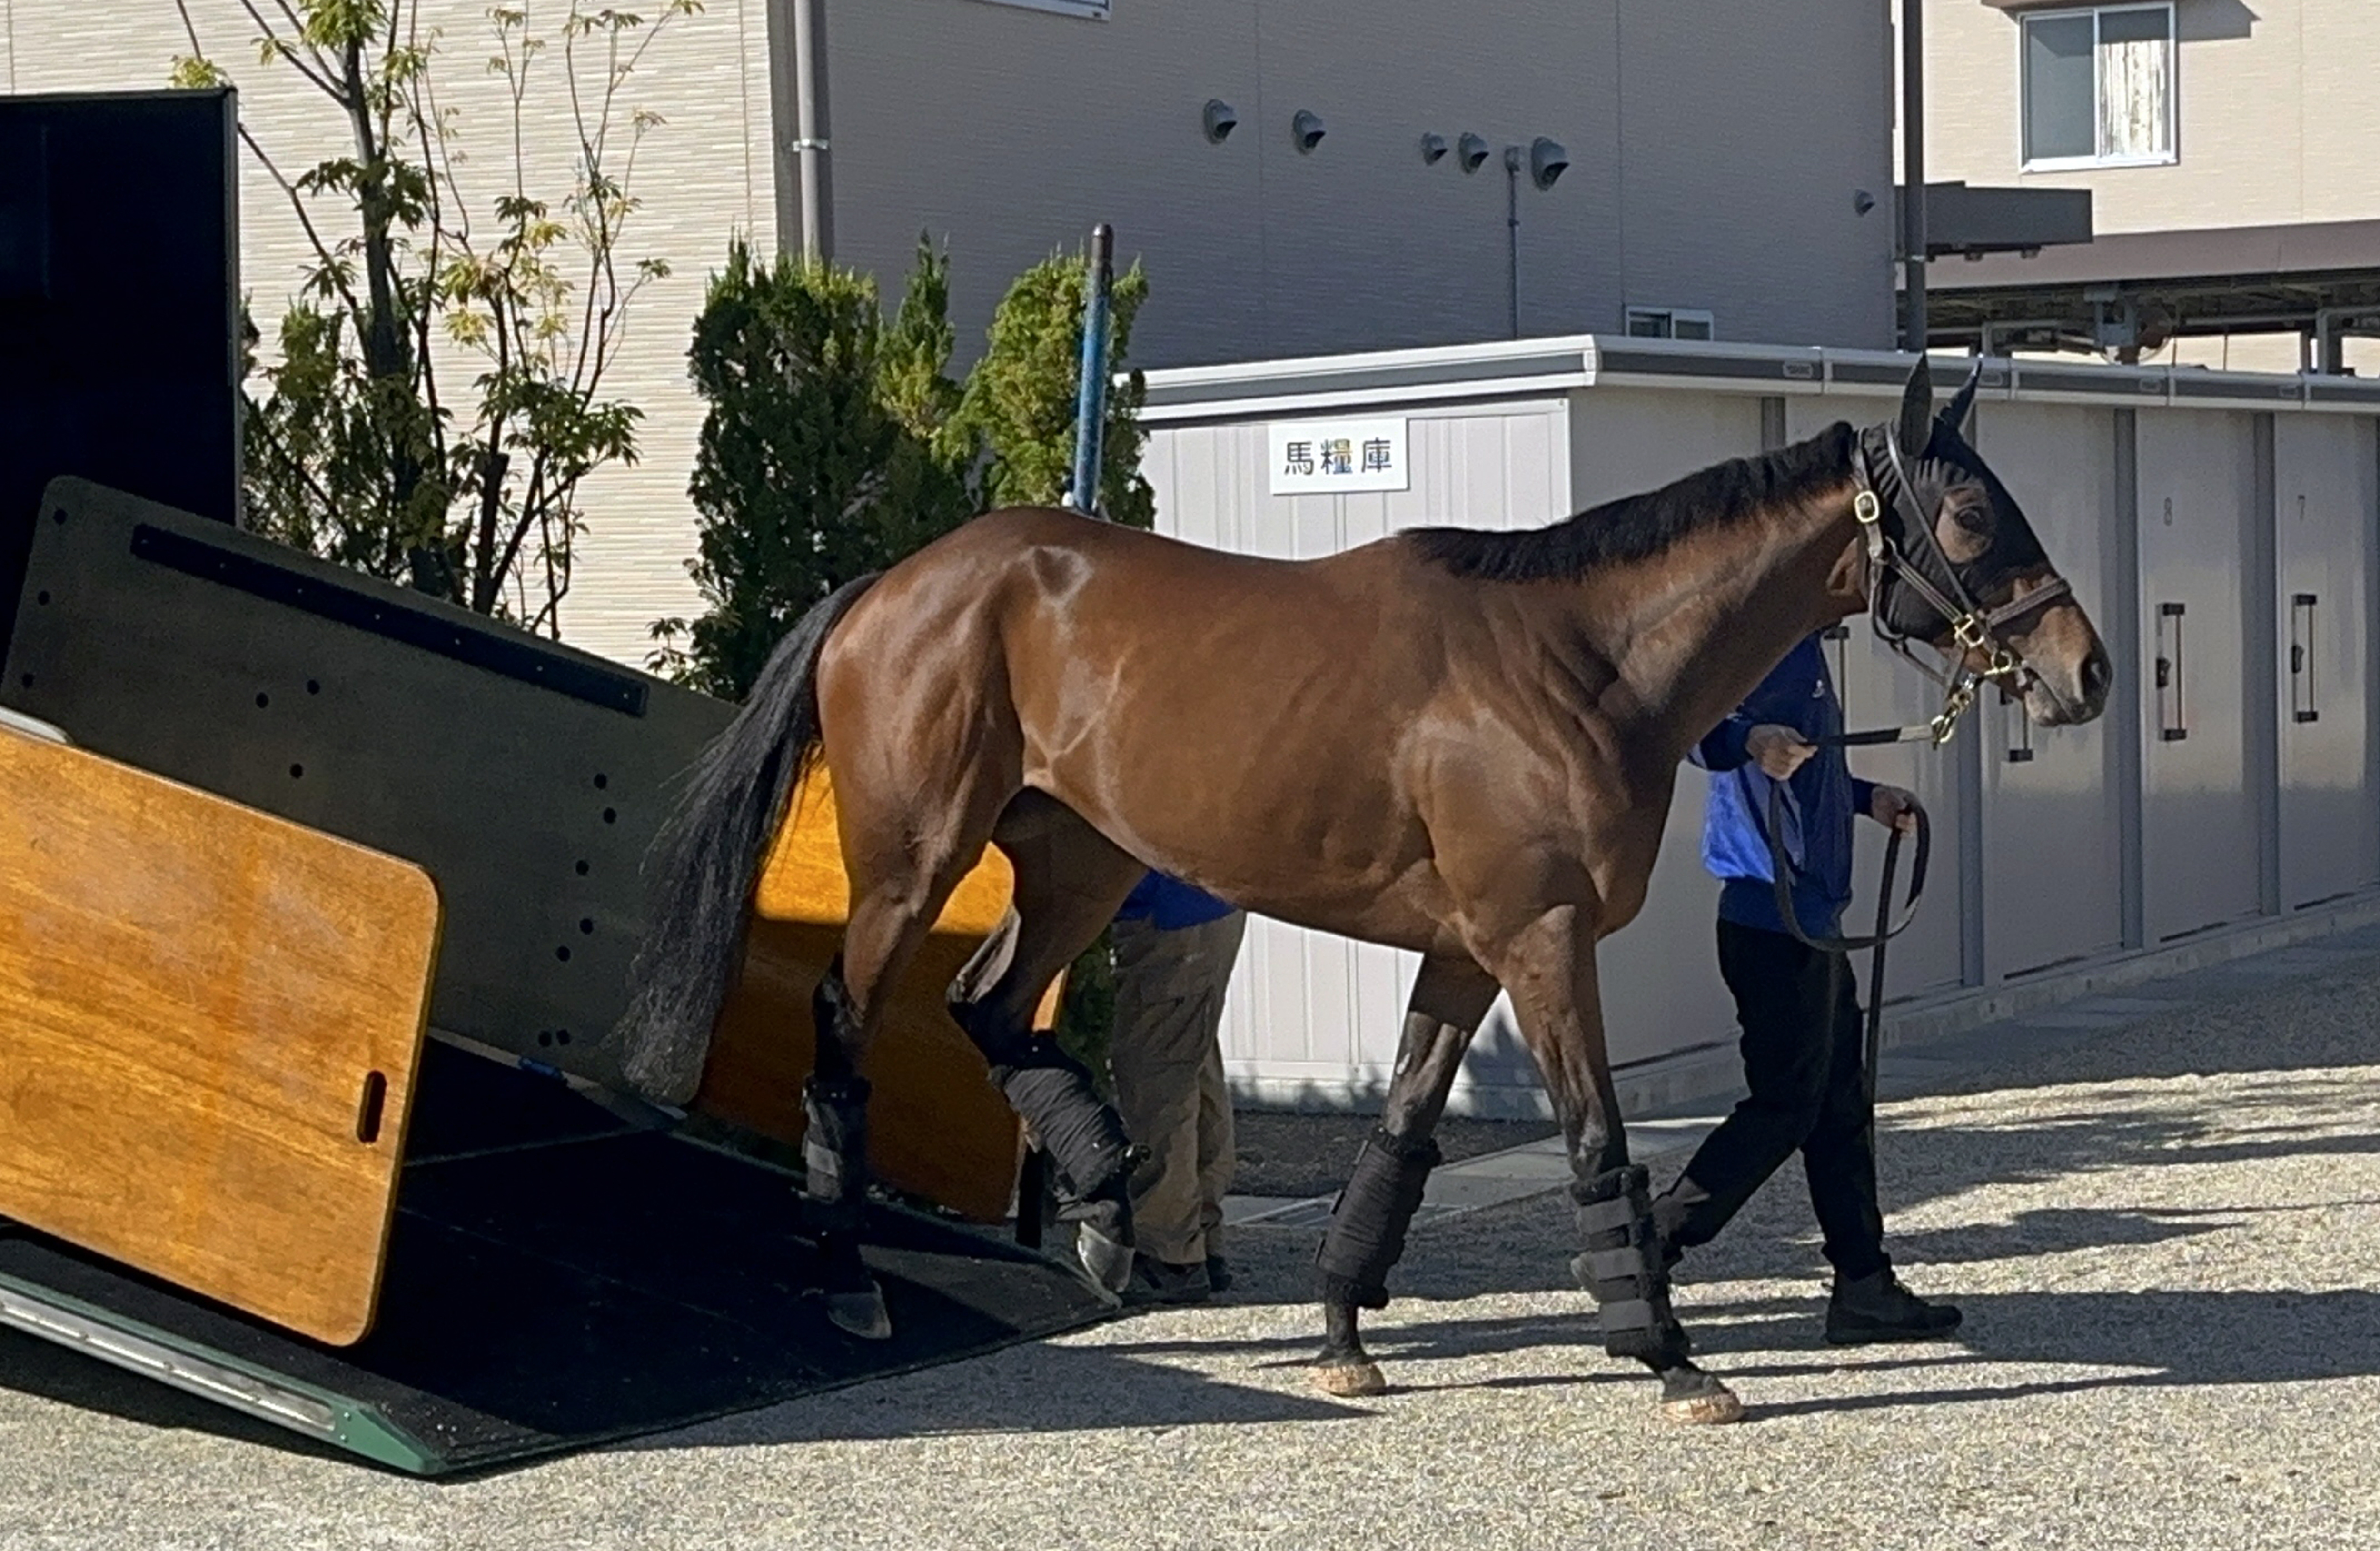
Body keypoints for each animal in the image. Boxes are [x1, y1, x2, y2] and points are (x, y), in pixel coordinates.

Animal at [608, 358, 2111, 1426]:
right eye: (1971, 512)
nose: (2086, 669)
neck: (1578, 663)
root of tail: (892, 585)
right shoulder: (1542, 940)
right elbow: (1597, 1141)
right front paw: (1668, 1351)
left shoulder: (1466, 951)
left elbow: (1398, 1133)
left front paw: (1340, 1334)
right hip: (913, 865)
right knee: (844, 1030)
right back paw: (853, 1275)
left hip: (1082, 860)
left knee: (995, 1009)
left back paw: (1102, 1215)